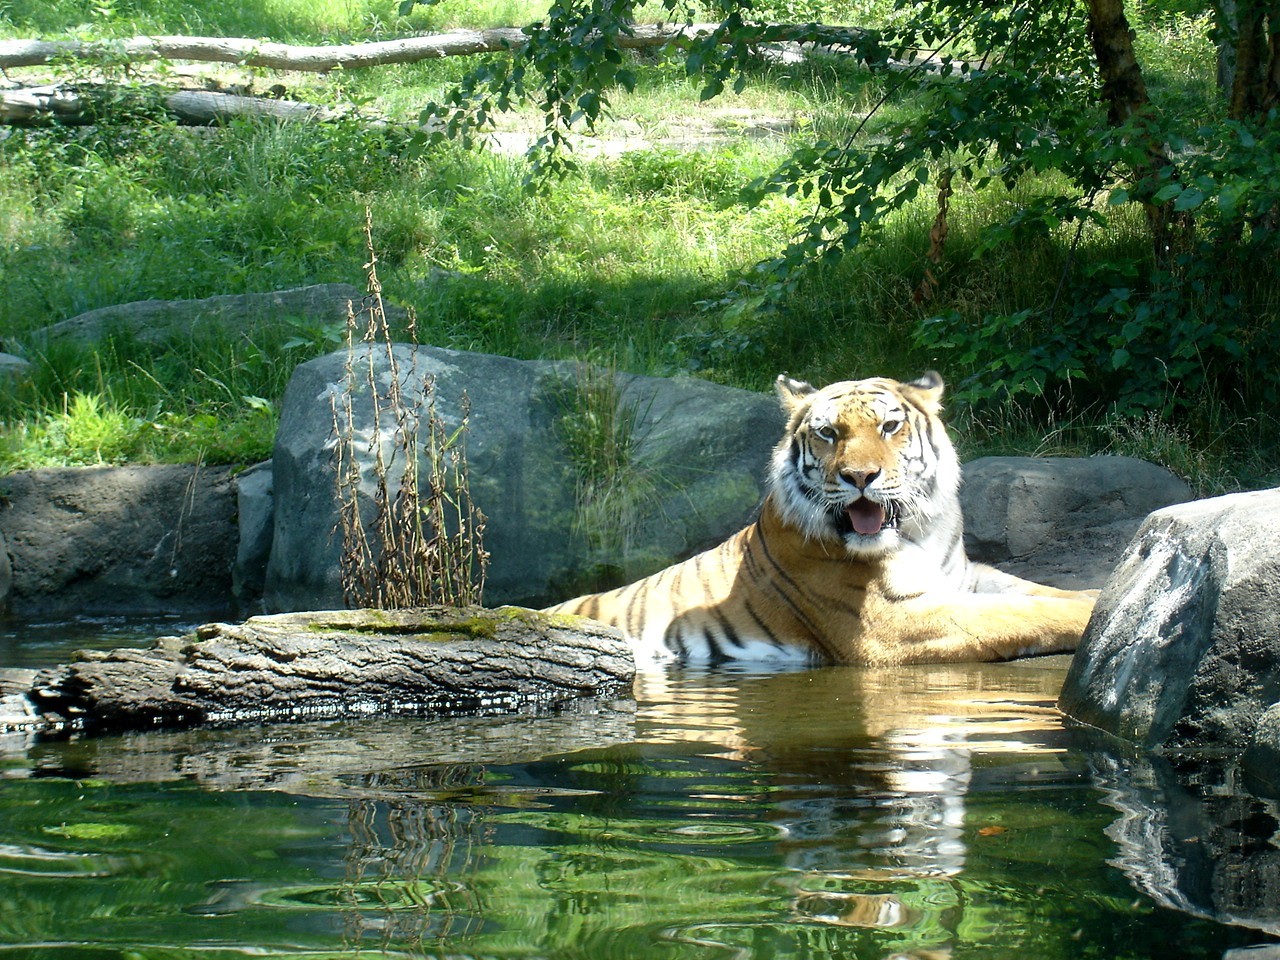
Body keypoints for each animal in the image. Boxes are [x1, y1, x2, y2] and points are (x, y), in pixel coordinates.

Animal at [543, 371, 1097, 666]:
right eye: (829, 433)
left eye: (890, 426)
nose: (860, 476)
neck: (919, 533)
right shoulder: (892, 624)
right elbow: (1021, 615)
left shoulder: (961, 577)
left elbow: (1037, 591)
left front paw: (1097, 593)